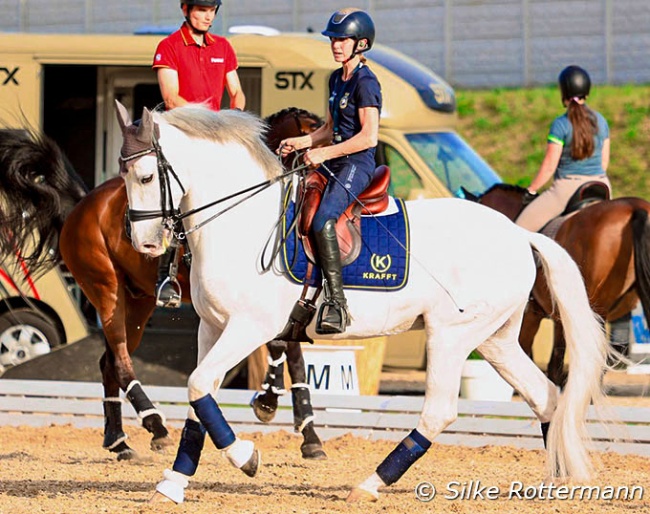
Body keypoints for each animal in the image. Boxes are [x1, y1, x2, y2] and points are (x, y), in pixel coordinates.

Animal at [0, 107, 327, 461]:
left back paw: (118, 440)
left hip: (138, 304)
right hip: (106, 291)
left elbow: (292, 354)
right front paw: (275, 405)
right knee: (120, 360)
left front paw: (303, 429)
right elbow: (286, 349)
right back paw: (154, 423)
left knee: (108, 362)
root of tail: (82, 205)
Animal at [115, 102, 610, 504]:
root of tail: (520, 233)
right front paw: (173, 483)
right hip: (495, 340)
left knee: (440, 411)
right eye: (123, 177)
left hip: (451, 335)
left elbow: (199, 385)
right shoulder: (213, 328)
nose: (144, 244)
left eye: (146, 177)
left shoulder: (249, 327)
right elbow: (199, 398)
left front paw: (246, 457)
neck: (243, 221)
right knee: (547, 397)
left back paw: (370, 484)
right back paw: (558, 482)